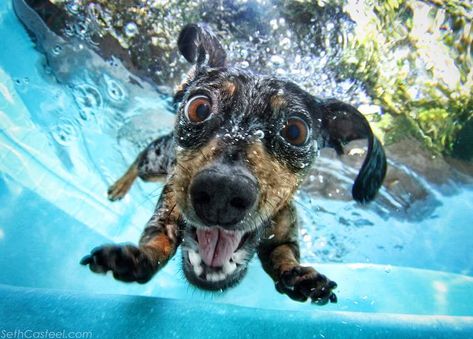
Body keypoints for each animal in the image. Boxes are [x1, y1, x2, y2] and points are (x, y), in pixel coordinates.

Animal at [79, 23, 386, 306]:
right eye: (199, 107)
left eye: (295, 132)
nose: (222, 192)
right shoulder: (165, 215)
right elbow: (157, 242)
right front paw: (139, 258)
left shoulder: (284, 236)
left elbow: (284, 254)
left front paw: (298, 274)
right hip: (155, 163)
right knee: (139, 160)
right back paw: (119, 187)